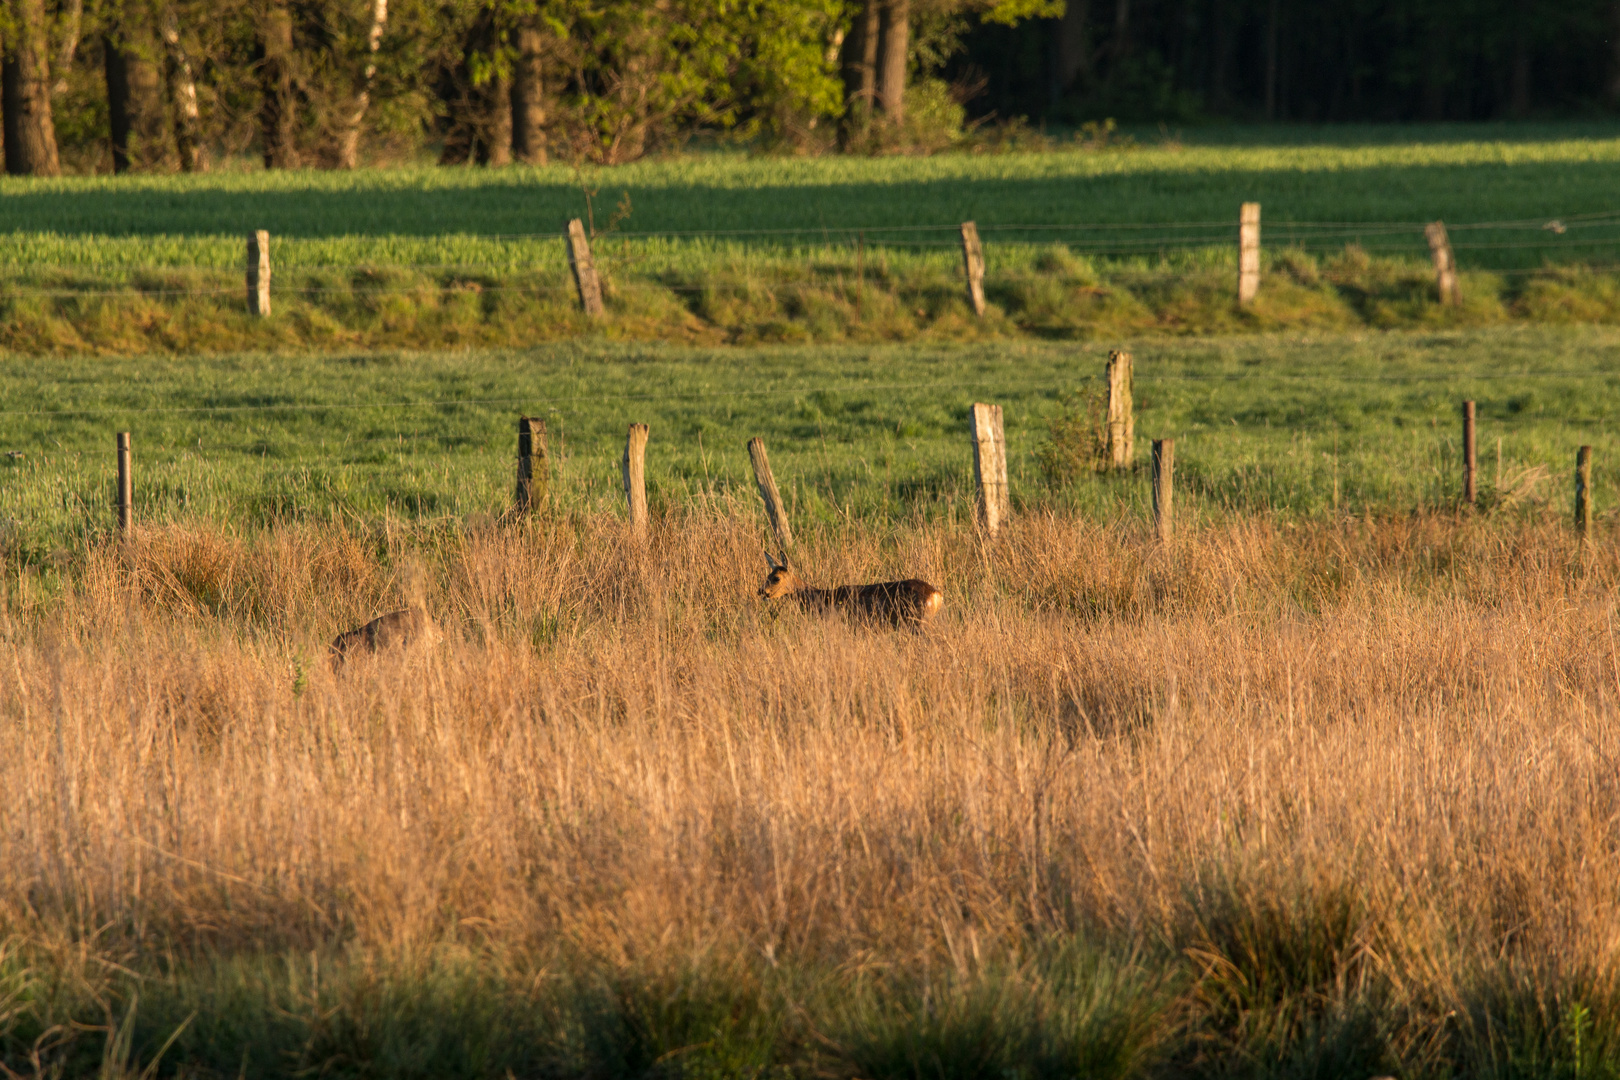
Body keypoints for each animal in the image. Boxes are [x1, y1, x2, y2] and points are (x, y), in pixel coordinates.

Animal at [761, 550, 946, 625]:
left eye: (776, 578)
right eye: (768, 575)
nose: (761, 591)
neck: (824, 599)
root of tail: (937, 594)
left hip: (919, 620)